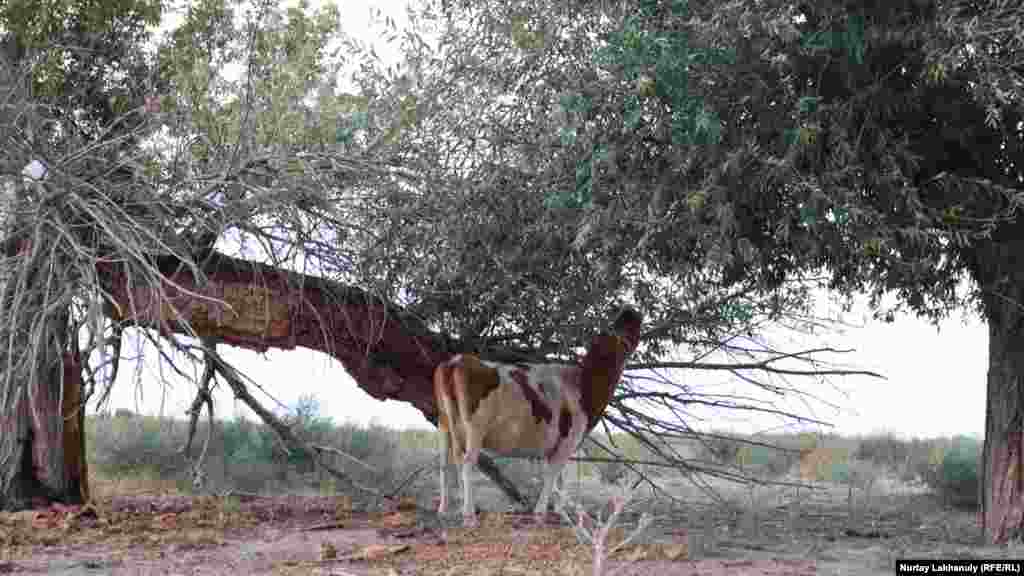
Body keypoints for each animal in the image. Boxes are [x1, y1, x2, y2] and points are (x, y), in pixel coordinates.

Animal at [432, 307, 638, 522]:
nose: (630, 311)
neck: (583, 383)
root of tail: (456, 360)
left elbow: (560, 479)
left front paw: (559, 512)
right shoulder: (568, 440)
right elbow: (553, 475)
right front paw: (543, 513)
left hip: (444, 422)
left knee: (445, 463)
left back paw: (445, 509)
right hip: (475, 426)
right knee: (467, 462)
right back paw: (468, 514)